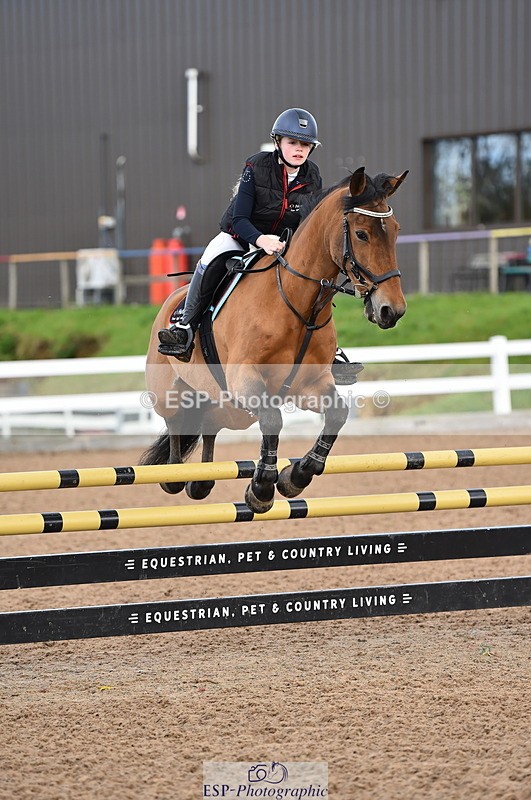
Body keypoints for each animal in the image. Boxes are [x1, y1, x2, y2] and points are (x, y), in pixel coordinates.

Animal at [142, 166, 408, 513]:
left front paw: (296, 476)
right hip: (170, 390)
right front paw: (263, 487)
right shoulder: (245, 379)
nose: (393, 310)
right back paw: (173, 475)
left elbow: (337, 414)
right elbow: (272, 419)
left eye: (396, 231)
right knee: (176, 421)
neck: (297, 302)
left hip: (232, 409)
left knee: (210, 422)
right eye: (362, 234)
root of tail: (173, 300)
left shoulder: (308, 385)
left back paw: (200, 482)